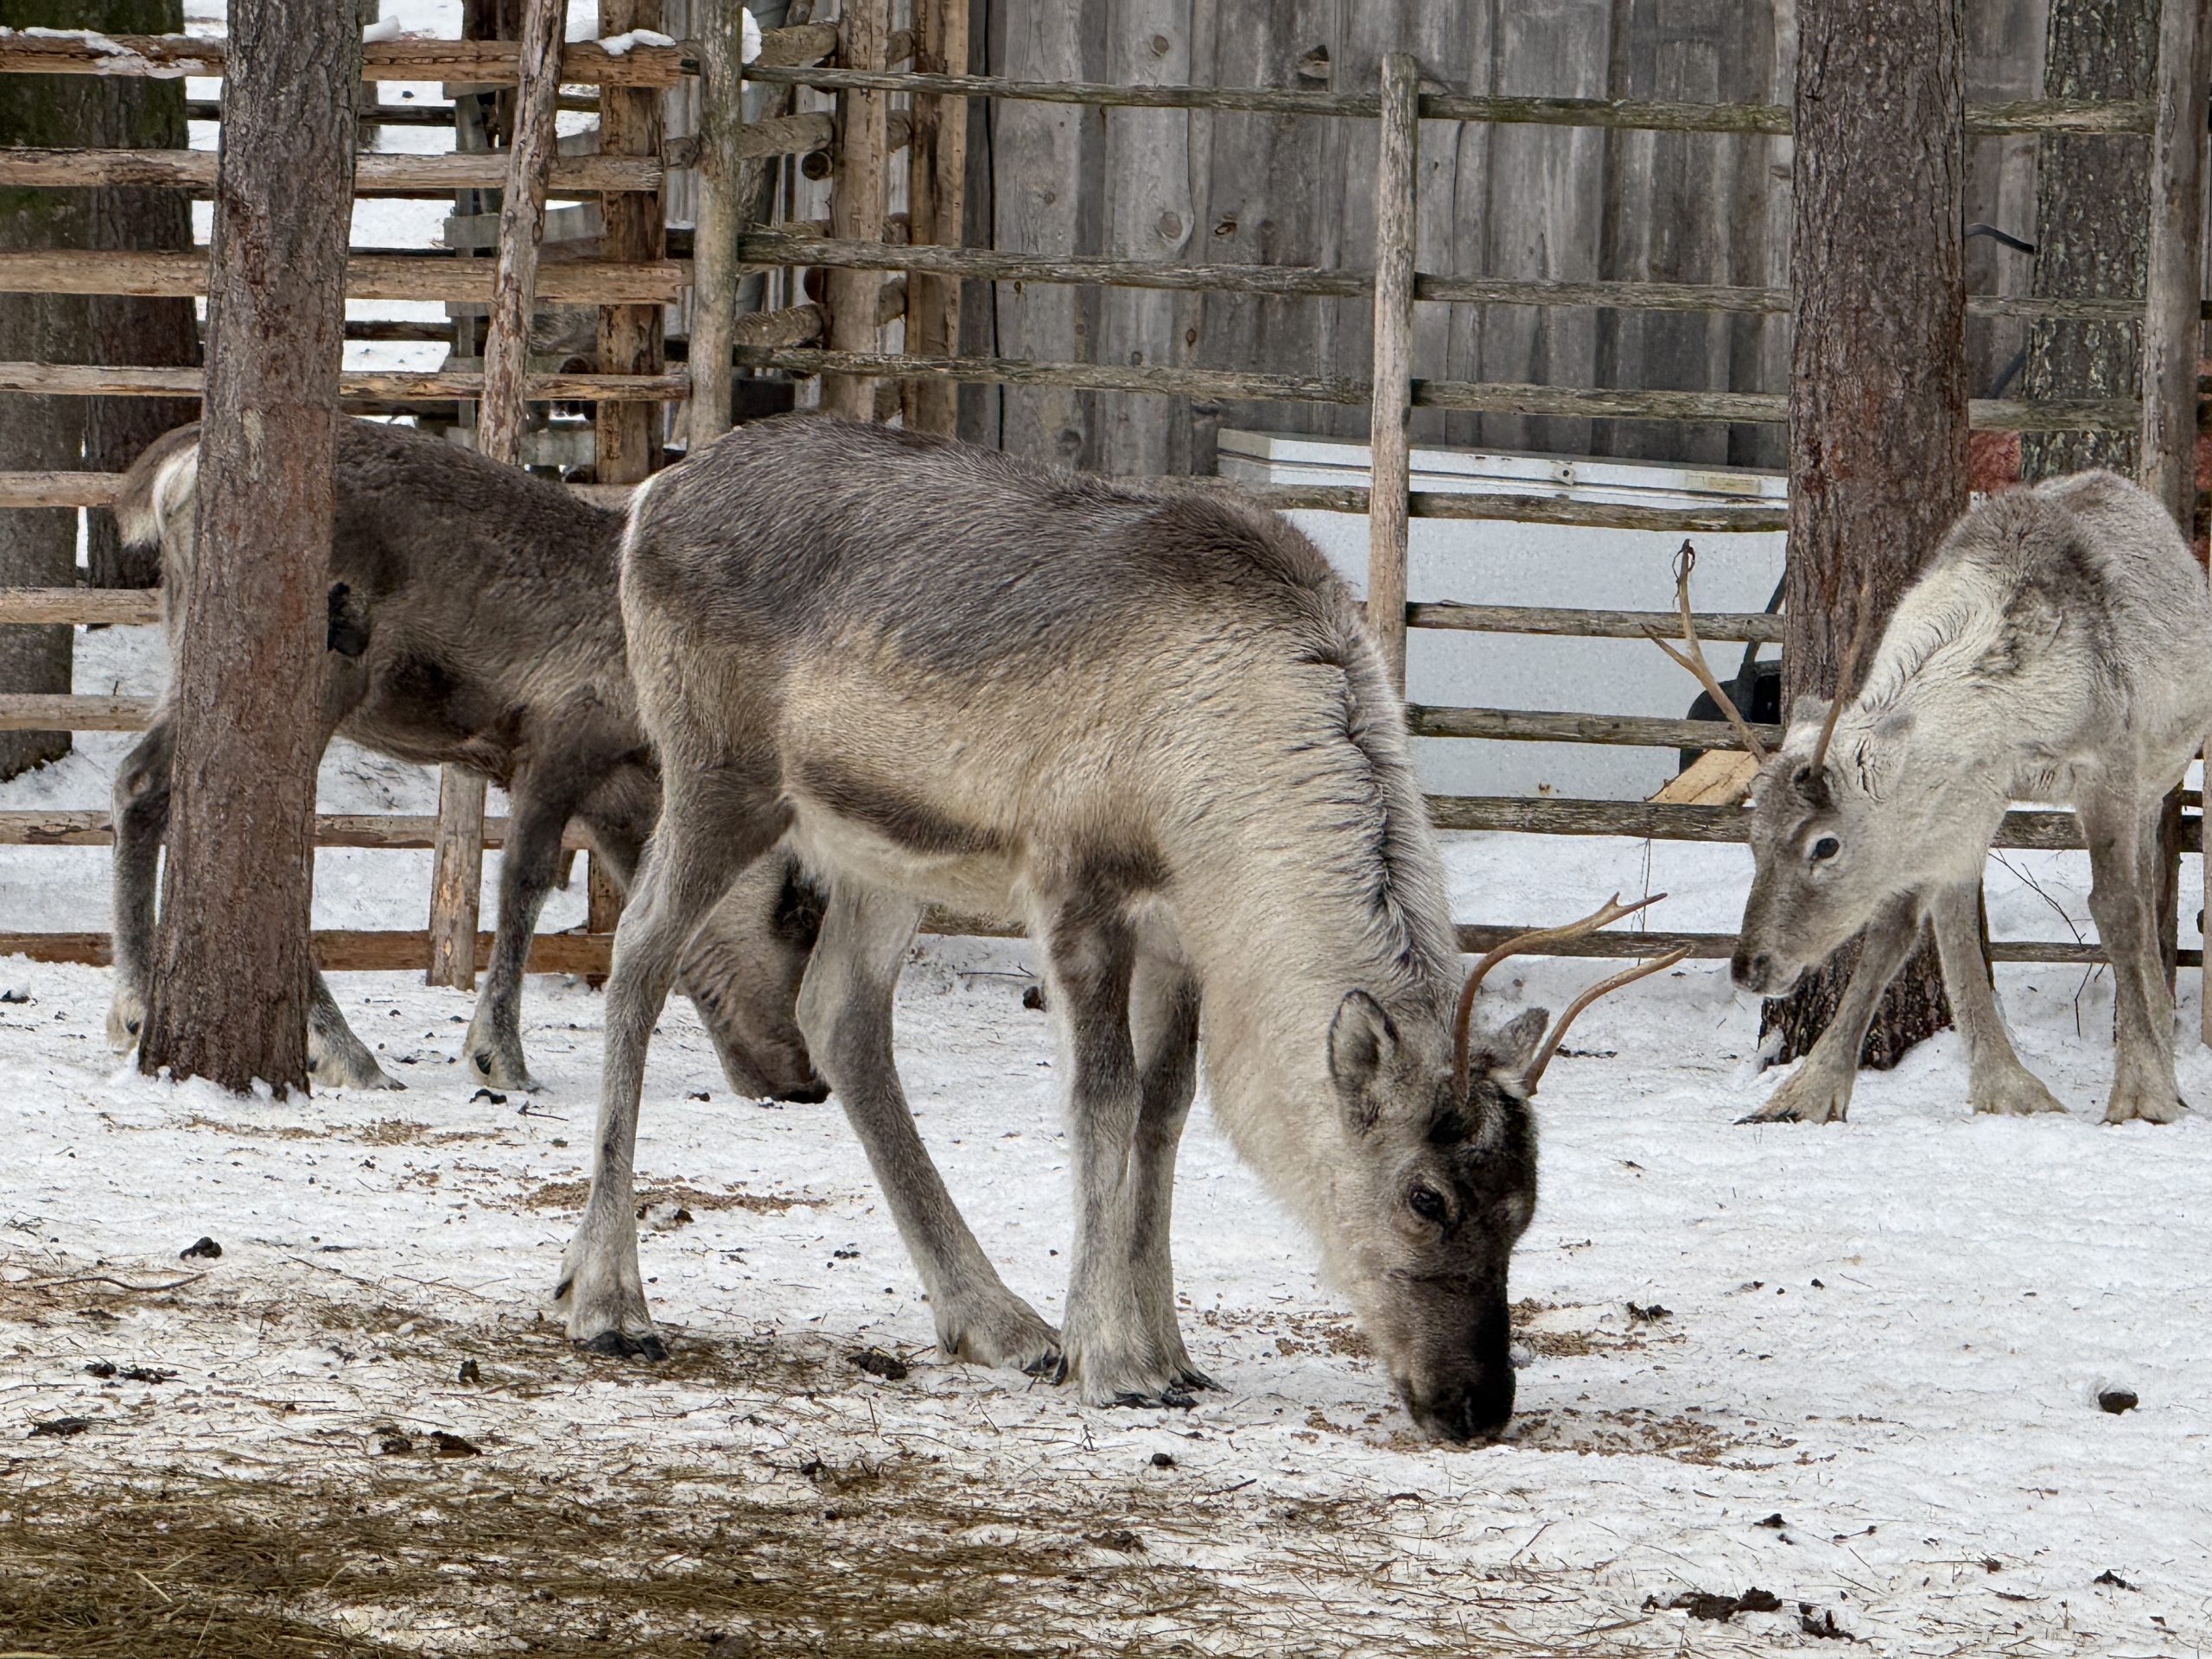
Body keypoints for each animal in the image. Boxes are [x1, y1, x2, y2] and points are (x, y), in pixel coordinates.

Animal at [107, 417, 826, 1102]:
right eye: (795, 911)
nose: (807, 1083)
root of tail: (171, 472)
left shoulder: (614, 798)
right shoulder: (560, 738)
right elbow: (523, 883)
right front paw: (499, 1054)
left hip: (190, 658)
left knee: (139, 782)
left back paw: (136, 1004)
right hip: (322, 671)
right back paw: (345, 1053)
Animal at [555, 415, 1684, 1441]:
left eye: (1524, 1208)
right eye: (1425, 1198)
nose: (1476, 1407)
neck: (1221, 779)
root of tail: (652, 497)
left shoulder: (1181, 933)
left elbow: (1165, 1110)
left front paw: (1169, 1351)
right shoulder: (1074, 880)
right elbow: (1101, 1099)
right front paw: (1113, 1361)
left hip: (880, 846)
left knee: (839, 1016)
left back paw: (996, 1321)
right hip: (719, 771)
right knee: (639, 952)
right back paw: (608, 1299)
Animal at [1680, 471, 2212, 1127]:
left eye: (1825, 845)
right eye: (1751, 838)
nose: (1749, 967)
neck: (2013, 708)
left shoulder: (2107, 763)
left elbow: (2116, 909)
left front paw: (2143, 1094)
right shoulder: (1961, 798)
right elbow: (1904, 930)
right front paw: (1806, 1096)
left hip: (2157, 777)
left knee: (2143, 893)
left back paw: (2165, 1054)